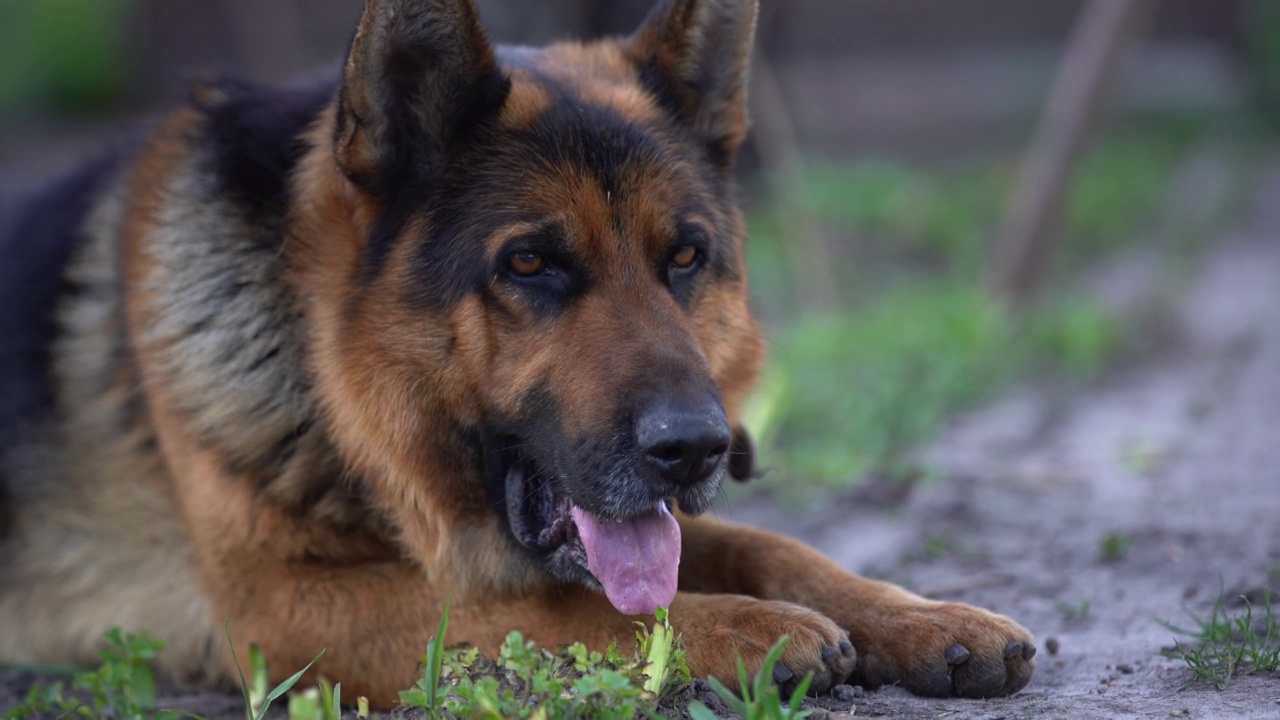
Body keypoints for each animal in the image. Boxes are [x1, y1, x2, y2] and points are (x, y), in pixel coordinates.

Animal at [0, 0, 1034, 707]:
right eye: (530, 263)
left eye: (686, 258)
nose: (696, 449)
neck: (328, 388)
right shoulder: (285, 606)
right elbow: (571, 610)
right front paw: (751, 630)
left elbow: (767, 544)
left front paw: (919, 614)